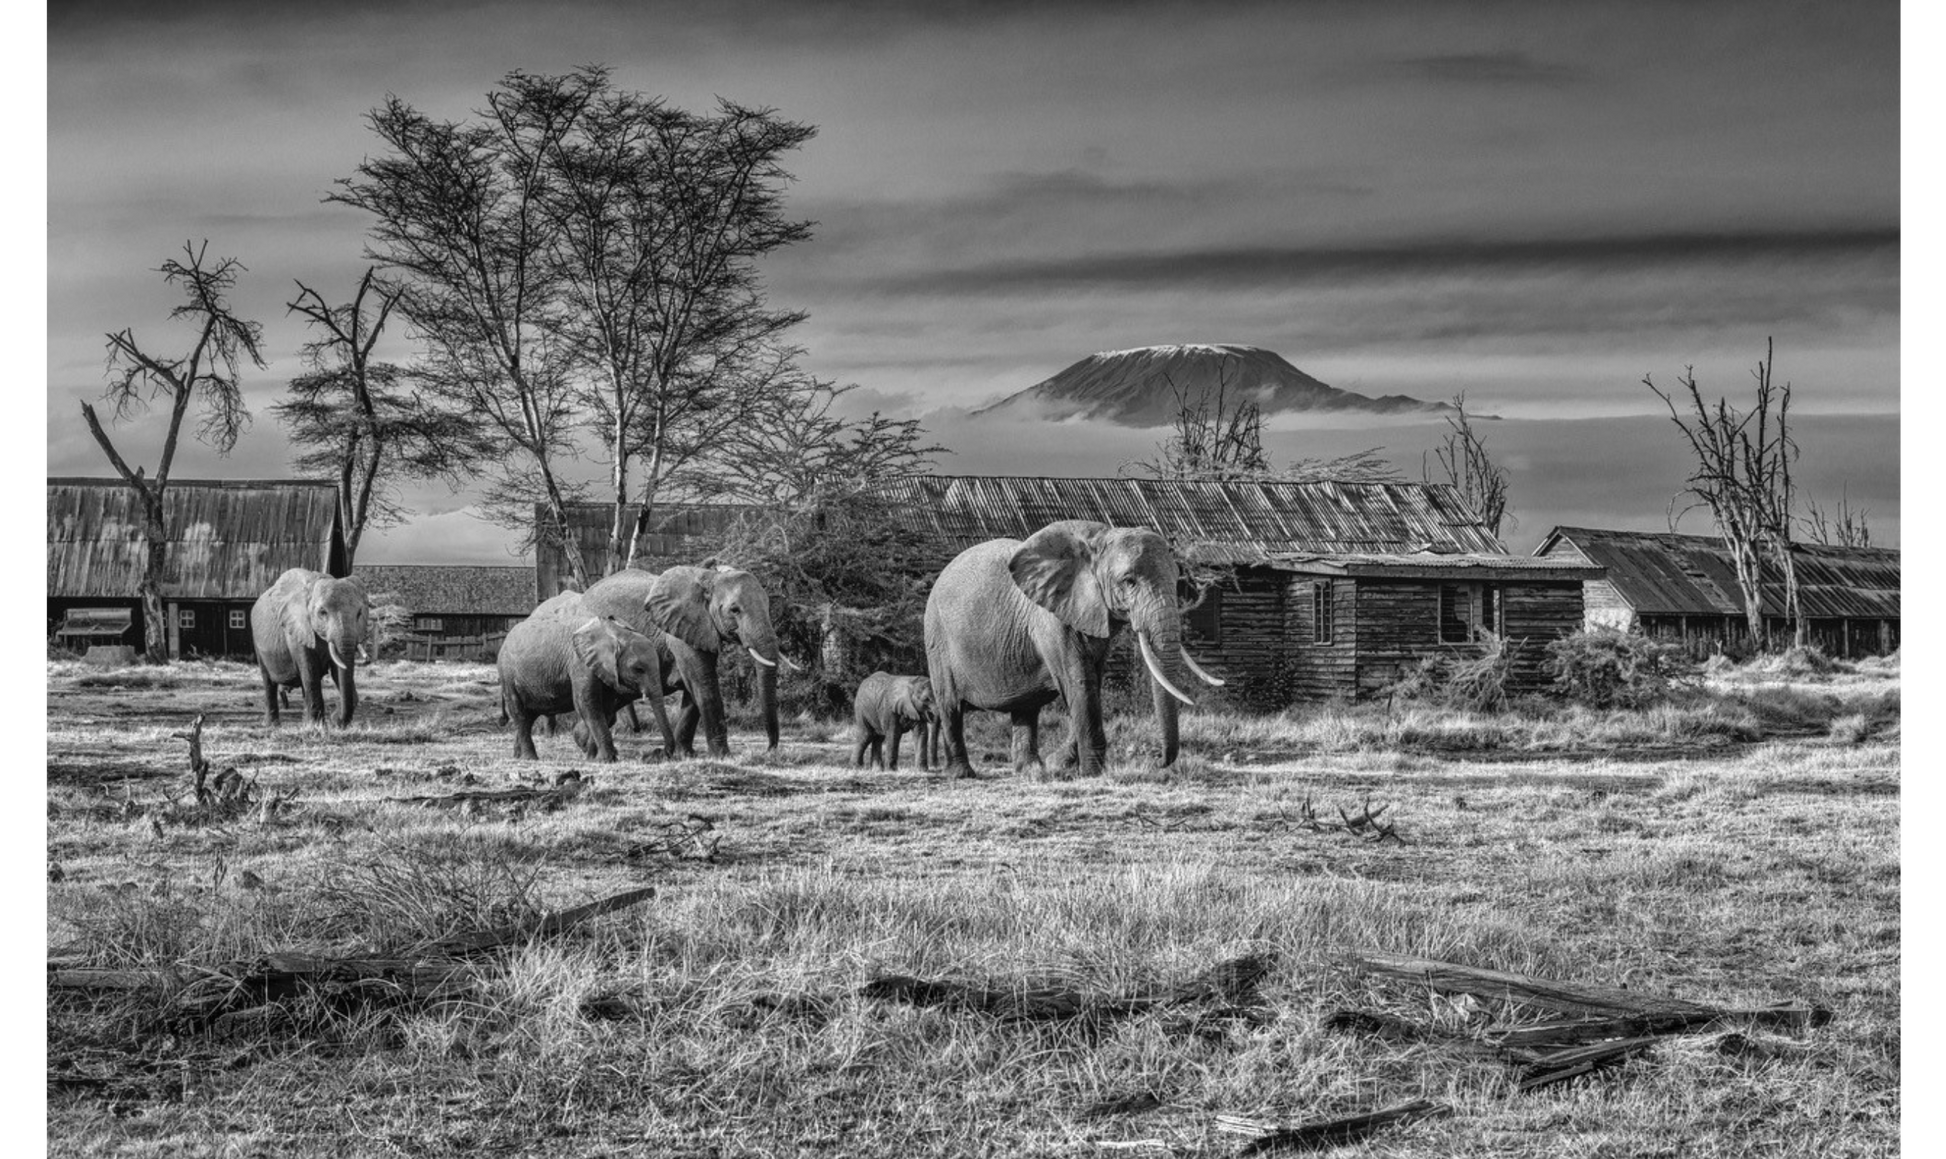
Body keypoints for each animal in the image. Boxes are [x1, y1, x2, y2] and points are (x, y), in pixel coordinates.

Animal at [251, 567, 371, 723]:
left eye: (359, 614)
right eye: (322, 612)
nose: (335, 720)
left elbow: (337, 671)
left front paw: (329, 722)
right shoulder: (297, 629)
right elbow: (310, 672)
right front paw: (318, 725)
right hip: (257, 641)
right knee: (269, 682)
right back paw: (272, 725)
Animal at [498, 598, 681, 762]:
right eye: (638, 669)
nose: (658, 753)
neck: (615, 632)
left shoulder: (604, 670)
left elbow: (605, 709)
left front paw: (594, 759)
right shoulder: (580, 664)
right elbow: (587, 704)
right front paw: (607, 759)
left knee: (528, 717)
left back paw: (517, 756)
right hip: (508, 676)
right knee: (520, 714)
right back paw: (530, 758)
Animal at [576, 563, 797, 762]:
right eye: (734, 610)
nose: (769, 750)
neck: (710, 578)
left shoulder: (700, 629)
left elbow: (693, 689)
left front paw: (686, 755)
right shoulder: (681, 630)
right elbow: (703, 682)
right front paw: (723, 756)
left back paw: (583, 742)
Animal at [922, 521, 1222, 777]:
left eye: (1177, 579)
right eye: (1129, 581)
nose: (1157, 760)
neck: (1097, 542)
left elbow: (1092, 683)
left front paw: (1059, 764)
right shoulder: (1052, 619)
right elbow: (1080, 683)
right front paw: (1091, 773)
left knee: (1025, 708)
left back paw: (1031, 771)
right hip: (937, 638)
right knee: (950, 705)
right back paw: (963, 774)